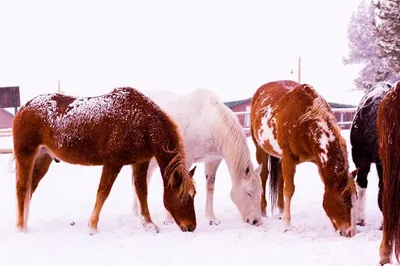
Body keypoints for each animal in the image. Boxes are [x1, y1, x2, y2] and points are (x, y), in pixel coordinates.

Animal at [13, 87, 198, 233]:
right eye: (182, 197)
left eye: (194, 195)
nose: (191, 227)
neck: (142, 122)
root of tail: (24, 108)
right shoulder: (113, 163)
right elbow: (103, 192)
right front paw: (93, 226)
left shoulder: (140, 162)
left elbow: (141, 192)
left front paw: (149, 224)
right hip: (26, 154)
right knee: (22, 188)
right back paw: (21, 228)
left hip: (43, 158)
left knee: (31, 187)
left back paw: (24, 224)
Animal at [132, 89, 262, 227]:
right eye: (249, 193)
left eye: (260, 192)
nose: (257, 221)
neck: (207, 122)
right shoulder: (184, 159)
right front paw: (169, 220)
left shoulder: (213, 160)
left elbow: (210, 187)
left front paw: (211, 218)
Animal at [252, 80, 358, 237]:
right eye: (344, 200)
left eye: (356, 198)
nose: (351, 232)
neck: (305, 122)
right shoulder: (289, 159)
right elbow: (289, 190)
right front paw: (287, 225)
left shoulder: (316, 163)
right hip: (260, 149)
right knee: (264, 176)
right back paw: (263, 210)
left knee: (280, 178)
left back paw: (281, 211)